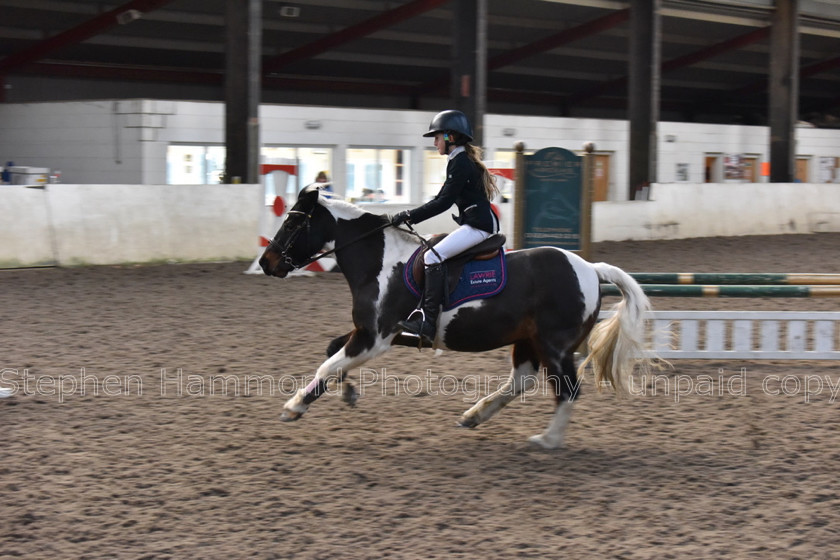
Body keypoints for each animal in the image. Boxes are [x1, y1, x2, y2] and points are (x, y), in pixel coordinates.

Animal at [260, 186, 652, 448]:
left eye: (292, 224)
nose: (267, 263)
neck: (379, 262)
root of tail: (590, 268)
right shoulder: (372, 333)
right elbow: (332, 353)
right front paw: (348, 393)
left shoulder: (375, 338)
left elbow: (328, 364)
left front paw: (294, 406)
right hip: (528, 340)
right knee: (521, 381)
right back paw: (474, 416)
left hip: (553, 346)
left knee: (567, 391)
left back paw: (547, 440)